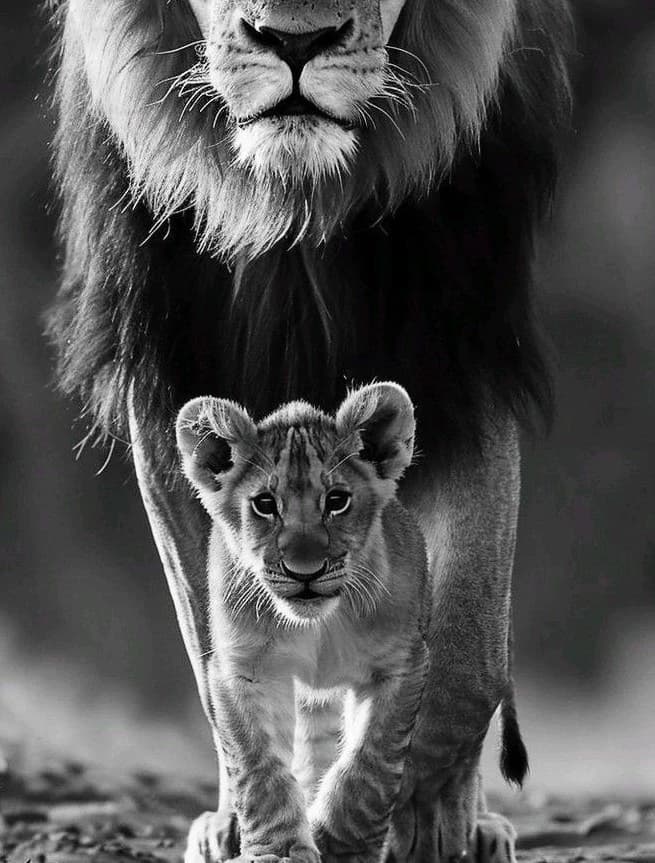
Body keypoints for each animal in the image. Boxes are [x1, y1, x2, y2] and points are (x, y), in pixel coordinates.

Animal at [176, 383, 528, 863]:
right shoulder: (244, 669)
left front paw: (340, 845)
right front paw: (280, 851)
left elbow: (368, 767)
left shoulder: (399, 666)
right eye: (265, 505)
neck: (315, 625)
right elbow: (259, 771)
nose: (305, 571)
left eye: (337, 501)